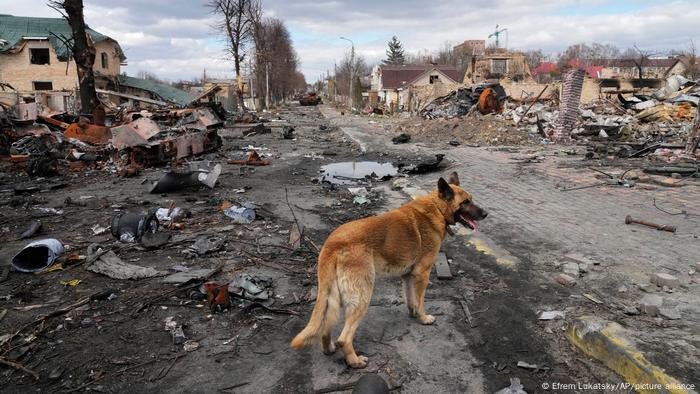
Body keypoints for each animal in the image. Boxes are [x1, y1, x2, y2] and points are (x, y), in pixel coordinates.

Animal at [290, 174, 486, 368]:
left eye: (471, 200)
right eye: (466, 202)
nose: (486, 214)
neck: (437, 208)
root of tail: (332, 243)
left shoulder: (408, 276)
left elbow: (411, 299)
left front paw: (413, 314)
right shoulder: (422, 274)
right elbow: (421, 301)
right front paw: (423, 318)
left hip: (333, 296)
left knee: (326, 325)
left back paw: (329, 348)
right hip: (362, 297)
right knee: (344, 338)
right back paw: (355, 361)